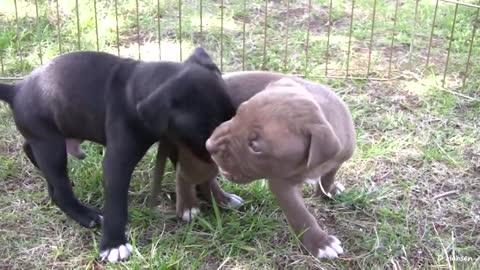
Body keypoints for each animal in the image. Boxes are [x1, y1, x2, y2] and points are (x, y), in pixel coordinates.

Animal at [0, 48, 238, 262]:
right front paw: (114, 245)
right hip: (50, 143)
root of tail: (16, 88)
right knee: (59, 188)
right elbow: (116, 203)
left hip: (52, 137)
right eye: (206, 132)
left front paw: (220, 198)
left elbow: (198, 173)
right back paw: (85, 215)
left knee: (32, 152)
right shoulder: (118, 162)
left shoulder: (175, 141)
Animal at [206, 74, 356, 260]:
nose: (209, 144)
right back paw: (224, 200)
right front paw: (321, 243)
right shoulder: (282, 184)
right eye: (237, 113)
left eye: (255, 146)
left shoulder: (340, 157)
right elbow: (299, 213)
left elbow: (328, 176)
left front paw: (328, 191)